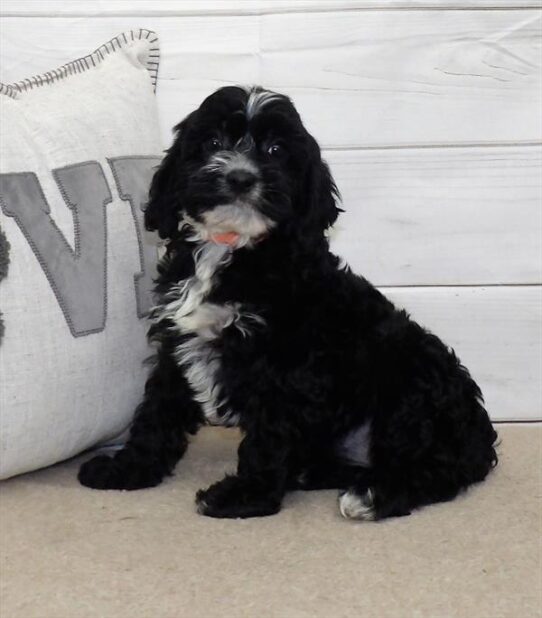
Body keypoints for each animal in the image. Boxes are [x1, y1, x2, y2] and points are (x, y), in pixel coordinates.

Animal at [78, 85, 500, 520]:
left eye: (276, 150)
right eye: (212, 142)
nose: (240, 178)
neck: (232, 248)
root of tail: (477, 438)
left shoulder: (287, 366)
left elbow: (268, 434)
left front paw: (245, 496)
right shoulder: (177, 342)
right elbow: (157, 410)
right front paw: (129, 469)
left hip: (410, 380)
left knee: (436, 469)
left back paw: (372, 495)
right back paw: (311, 473)